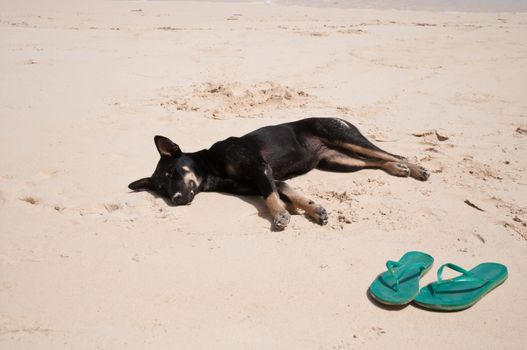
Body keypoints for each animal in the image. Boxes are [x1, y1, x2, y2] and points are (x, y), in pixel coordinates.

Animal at [130, 117, 432, 231]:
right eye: (162, 189)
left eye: (173, 172)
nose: (177, 199)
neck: (212, 166)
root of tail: (335, 116)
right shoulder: (270, 178)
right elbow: (288, 192)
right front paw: (313, 209)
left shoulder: (260, 170)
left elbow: (271, 198)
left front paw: (279, 216)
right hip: (338, 160)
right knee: (374, 162)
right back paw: (397, 169)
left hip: (346, 138)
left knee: (387, 153)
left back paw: (415, 167)